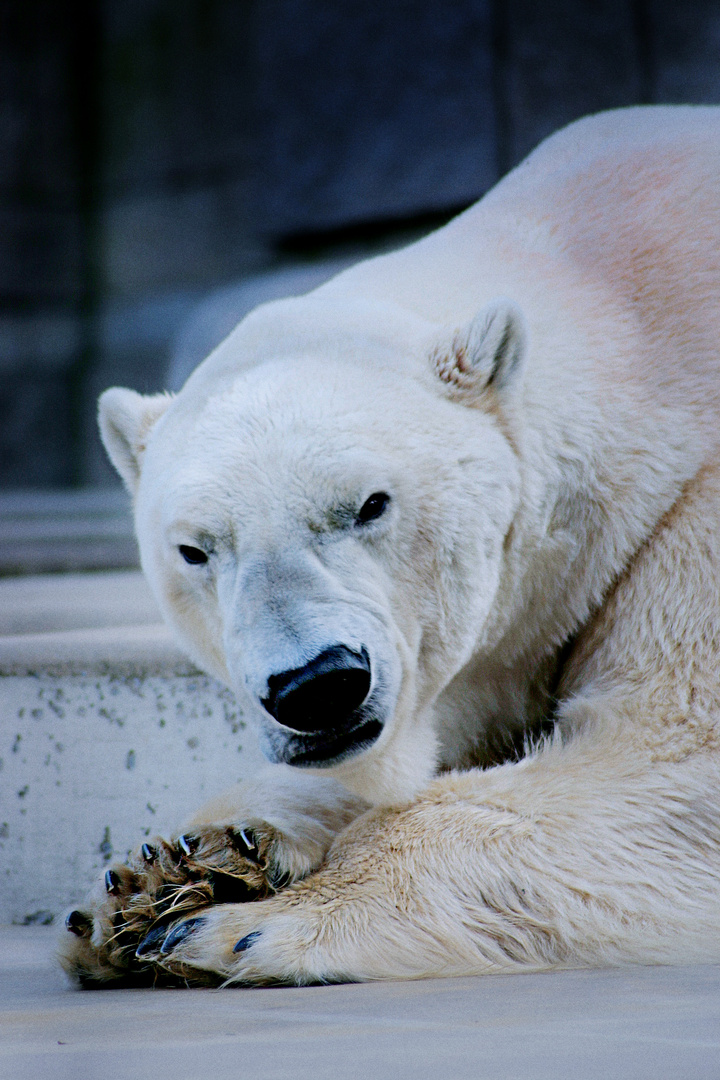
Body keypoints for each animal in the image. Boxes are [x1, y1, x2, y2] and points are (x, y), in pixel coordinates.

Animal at [62, 107, 720, 989]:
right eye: (195, 550)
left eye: (370, 505)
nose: (315, 687)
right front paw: (169, 875)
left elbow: (666, 764)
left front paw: (244, 924)